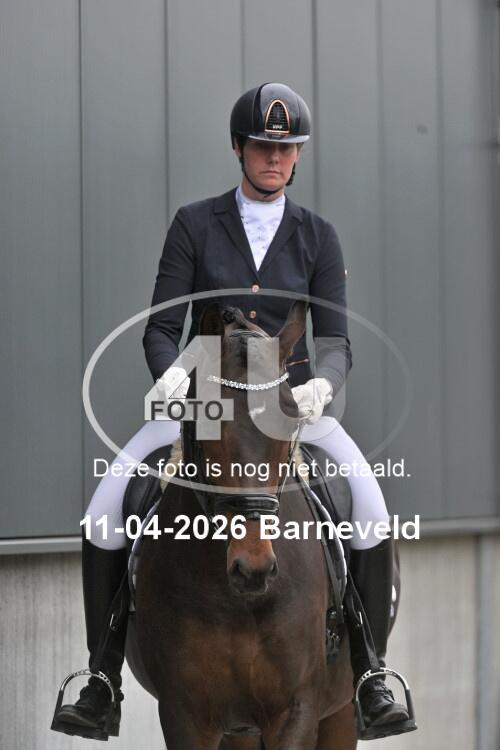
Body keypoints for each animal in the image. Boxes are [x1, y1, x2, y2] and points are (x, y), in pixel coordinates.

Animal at [128, 300, 359, 750]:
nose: (254, 568)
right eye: (209, 420)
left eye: (290, 419)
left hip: (339, 712)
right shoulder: (184, 712)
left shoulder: (297, 710)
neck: (237, 601)